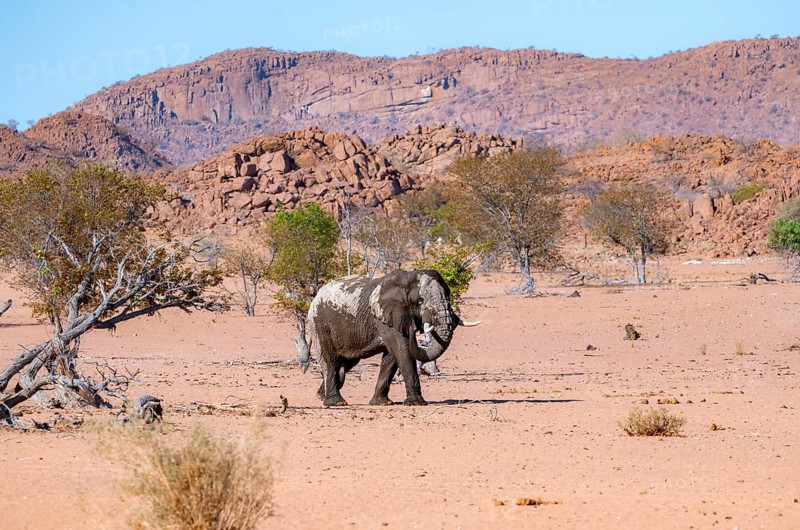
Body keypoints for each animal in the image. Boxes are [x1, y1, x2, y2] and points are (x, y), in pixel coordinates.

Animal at [306, 269, 480, 407]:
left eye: (448, 296)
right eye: (420, 301)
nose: (414, 330)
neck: (407, 279)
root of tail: (315, 297)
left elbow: (391, 357)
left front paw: (382, 403)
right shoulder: (385, 316)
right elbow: (401, 350)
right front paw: (416, 403)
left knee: (346, 363)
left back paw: (321, 395)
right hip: (319, 323)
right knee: (330, 361)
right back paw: (336, 402)